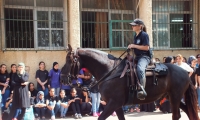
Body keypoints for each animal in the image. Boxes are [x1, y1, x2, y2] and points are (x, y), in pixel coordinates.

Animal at [61, 44, 198, 120]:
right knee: (186, 111)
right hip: (172, 97)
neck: (110, 70)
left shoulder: (113, 103)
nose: (62, 78)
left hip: (175, 97)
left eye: (69, 59)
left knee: (176, 115)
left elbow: (101, 118)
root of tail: (185, 72)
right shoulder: (116, 105)